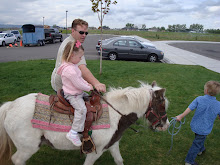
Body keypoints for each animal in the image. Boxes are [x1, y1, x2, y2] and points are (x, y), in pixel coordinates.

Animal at [0, 81, 170, 165]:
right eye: (162, 105)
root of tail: (10, 106)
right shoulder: (96, 151)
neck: (115, 115)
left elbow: (119, 160)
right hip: (27, 148)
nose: (166, 125)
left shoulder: (113, 144)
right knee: (17, 160)